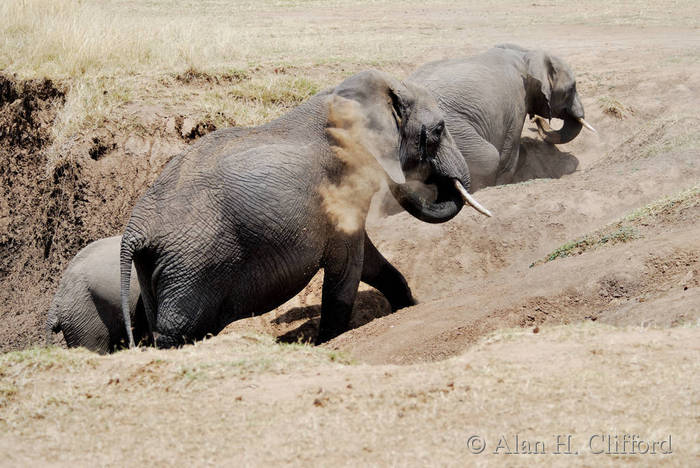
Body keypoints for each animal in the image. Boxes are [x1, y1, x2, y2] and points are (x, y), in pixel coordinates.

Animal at [120, 69, 490, 348]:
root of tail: (135, 230)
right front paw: (326, 342)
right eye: (438, 131)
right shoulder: (343, 181)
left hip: (158, 268)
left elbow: (368, 259)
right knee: (176, 331)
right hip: (191, 267)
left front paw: (406, 308)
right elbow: (349, 265)